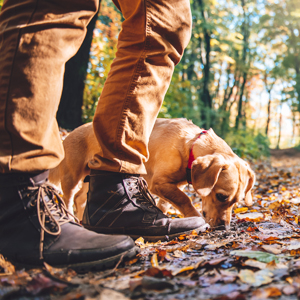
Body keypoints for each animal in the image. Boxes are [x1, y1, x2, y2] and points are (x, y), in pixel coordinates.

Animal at [49, 118, 255, 229]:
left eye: (236, 202)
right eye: (221, 196)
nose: (224, 227)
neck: (190, 145)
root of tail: (68, 135)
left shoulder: (171, 186)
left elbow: (166, 203)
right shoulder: (159, 183)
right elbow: (184, 200)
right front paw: (194, 216)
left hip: (91, 177)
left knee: (81, 199)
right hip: (72, 177)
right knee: (68, 198)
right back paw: (70, 217)